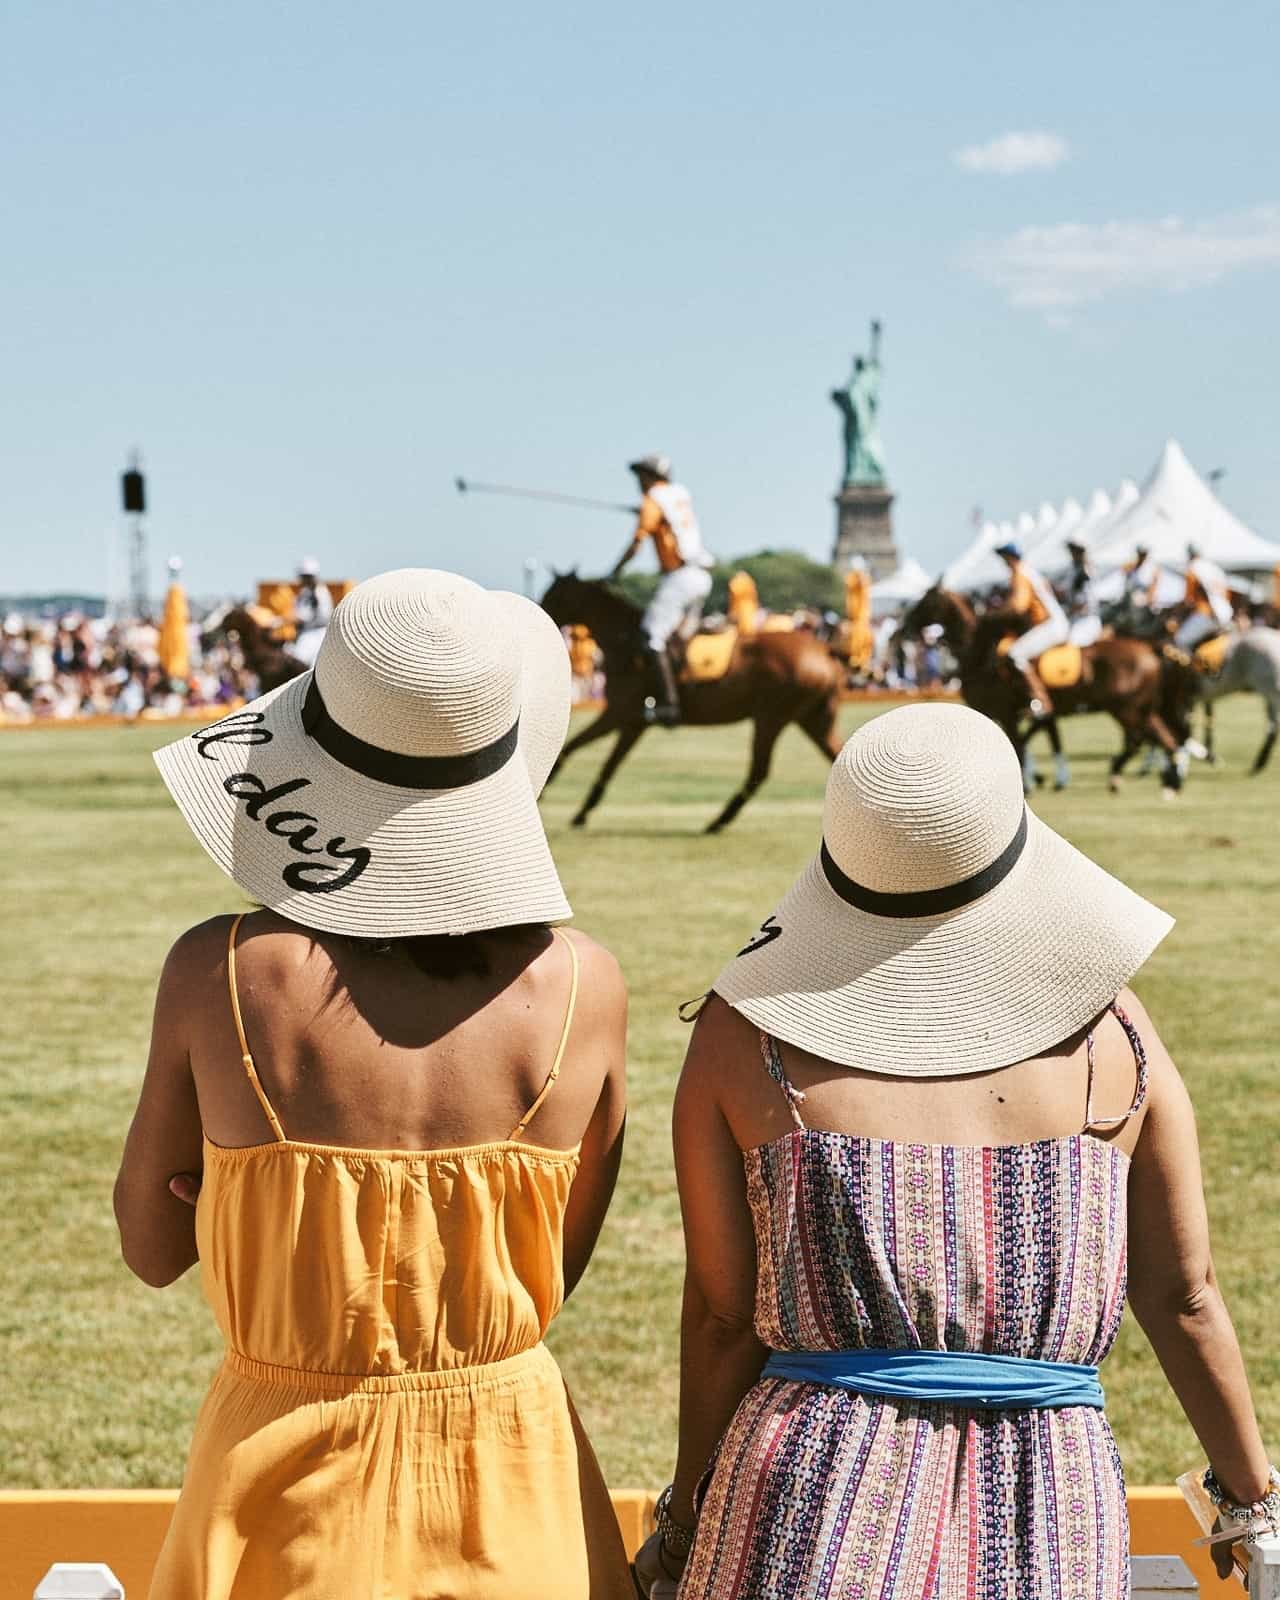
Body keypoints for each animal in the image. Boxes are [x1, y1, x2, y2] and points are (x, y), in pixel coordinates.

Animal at [537, 572, 844, 825]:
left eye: (554, 594)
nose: (538, 615)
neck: (626, 644)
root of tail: (826, 651)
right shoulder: (633, 723)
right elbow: (608, 764)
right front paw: (581, 812)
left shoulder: (617, 713)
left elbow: (571, 748)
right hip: (811, 719)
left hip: (771, 718)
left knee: (760, 770)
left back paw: (719, 821)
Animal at [902, 588, 1190, 793]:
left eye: (926, 601)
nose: (903, 628)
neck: (980, 655)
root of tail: (1149, 646)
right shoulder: (1027, 713)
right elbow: (1037, 740)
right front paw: (1042, 778)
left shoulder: (1008, 712)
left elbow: (1020, 744)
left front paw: (1030, 784)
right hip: (1139, 709)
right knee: (1160, 736)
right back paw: (1168, 779)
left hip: (1126, 709)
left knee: (1143, 738)